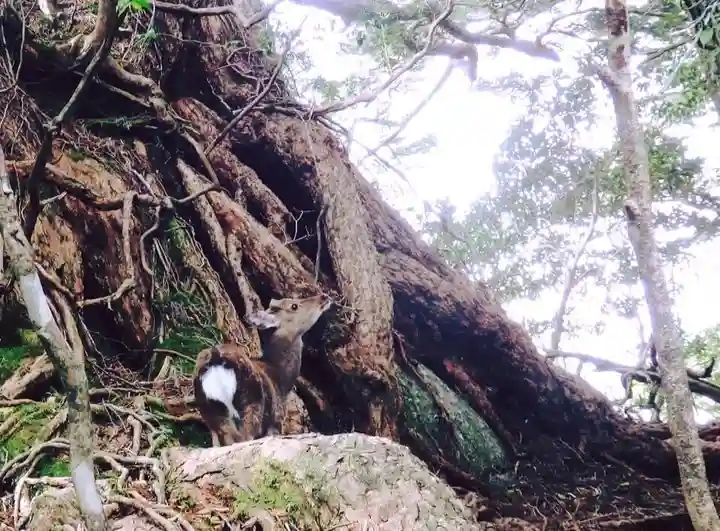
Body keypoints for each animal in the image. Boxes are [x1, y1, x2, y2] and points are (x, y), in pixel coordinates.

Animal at [192, 293, 333, 447]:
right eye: (294, 305)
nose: (324, 296)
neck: (281, 376)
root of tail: (215, 358)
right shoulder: (276, 419)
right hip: (251, 403)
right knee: (244, 437)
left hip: (210, 411)